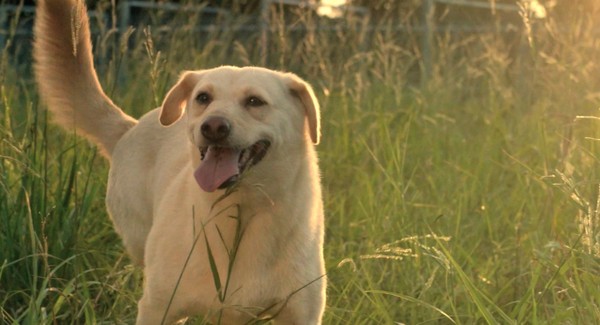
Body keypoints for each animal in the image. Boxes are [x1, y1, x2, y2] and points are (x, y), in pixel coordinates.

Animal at [32, 1, 326, 322]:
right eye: (203, 97)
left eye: (254, 101)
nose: (213, 127)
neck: (242, 211)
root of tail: (130, 127)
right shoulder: (157, 307)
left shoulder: (301, 314)